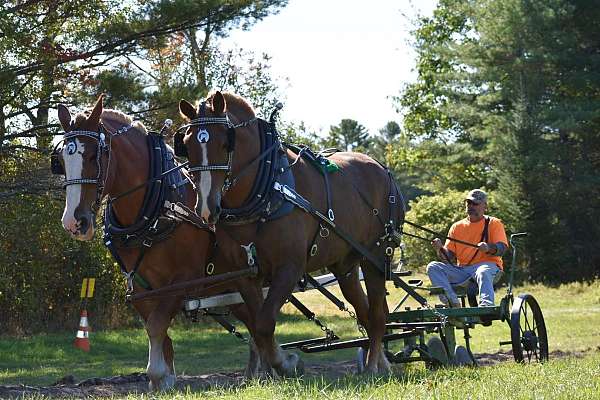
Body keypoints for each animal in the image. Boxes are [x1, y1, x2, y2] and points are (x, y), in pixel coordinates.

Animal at [52, 96, 258, 390]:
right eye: (60, 161)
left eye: (93, 156)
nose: (73, 222)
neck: (159, 203)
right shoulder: (140, 284)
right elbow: (155, 325)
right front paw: (165, 377)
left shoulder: (184, 279)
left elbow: (157, 324)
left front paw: (158, 373)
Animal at [177, 90, 404, 376]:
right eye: (187, 145)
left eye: (225, 143)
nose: (207, 208)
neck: (266, 191)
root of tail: (381, 168)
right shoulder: (246, 274)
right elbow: (258, 327)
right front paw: (276, 366)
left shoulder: (290, 268)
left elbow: (264, 323)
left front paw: (286, 364)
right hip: (346, 265)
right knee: (365, 311)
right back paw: (381, 363)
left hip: (376, 256)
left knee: (377, 315)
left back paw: (373, 365)